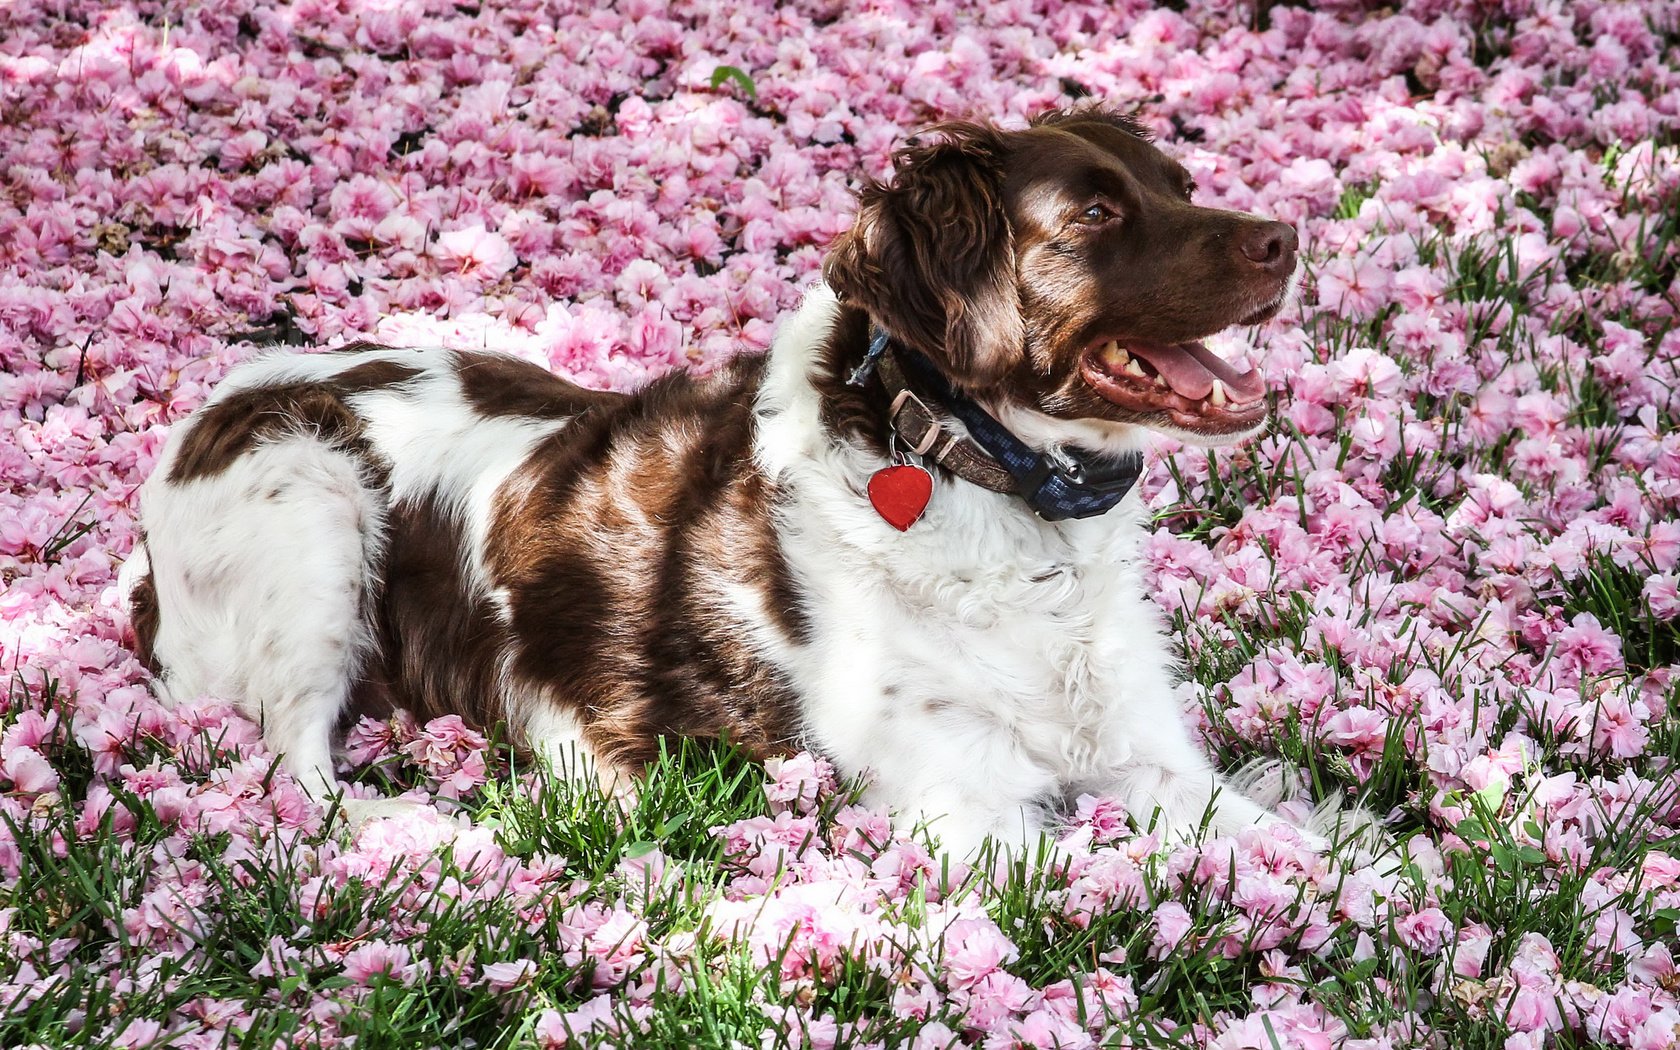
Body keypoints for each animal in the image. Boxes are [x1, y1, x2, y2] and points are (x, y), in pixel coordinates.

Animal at [121, 104, 1310, 853]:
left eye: (1181, 185)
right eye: (1097, 215)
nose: (1286, 236)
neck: (984, 487)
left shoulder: (1149, 757)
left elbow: (1310, 862)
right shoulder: (967, 804)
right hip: (310, 492)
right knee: (294, 764)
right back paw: (415, 826)